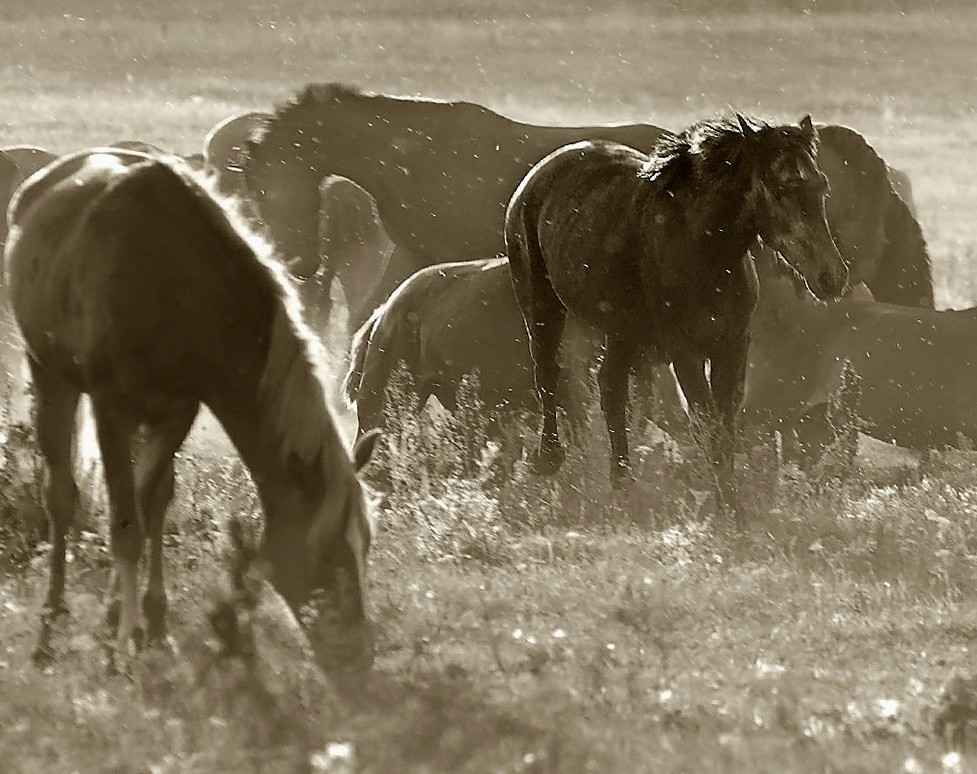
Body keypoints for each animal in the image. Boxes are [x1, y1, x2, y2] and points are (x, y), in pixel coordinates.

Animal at [3, 150, 378, 672]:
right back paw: (49, 626)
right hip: (50, 376)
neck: (173, 284)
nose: (358, 652)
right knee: (60, 496)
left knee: (152, 499)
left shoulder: (178, 410)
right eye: (326, 553)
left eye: (367, 546)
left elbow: (148, 506)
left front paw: (130, 622)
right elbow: (125, 523)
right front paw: (124, 641)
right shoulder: (111, 408)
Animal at [504, 115, 848, 516]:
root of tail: (537, 177)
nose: (832, 277)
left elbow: (726, 426)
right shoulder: (684, 352)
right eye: (781, 187)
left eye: (821, 185)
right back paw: (549, 458)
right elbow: (709, 426)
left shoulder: (733, 345)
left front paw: (732, 505)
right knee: (547, 370)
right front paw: (729, 513)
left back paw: (623, 484)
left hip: (620, 329)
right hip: (541, 303)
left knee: (611, 388)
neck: (702, 247)